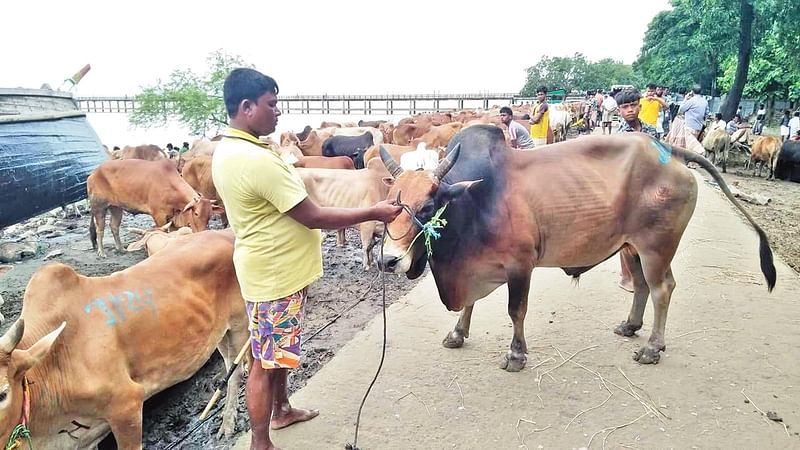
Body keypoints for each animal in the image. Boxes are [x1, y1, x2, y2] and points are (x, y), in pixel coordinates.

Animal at [0, 230, 248, 448]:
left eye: (3, 393)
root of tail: (226, 233)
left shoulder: (126, 405)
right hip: (218, 333)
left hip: (239, 323)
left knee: (237, 371)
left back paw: (227, 424)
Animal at [88, 159, 216, 256]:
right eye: (196, 213)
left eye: (210, 216)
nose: (203, 233)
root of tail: (93, 174)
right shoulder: (159, 216)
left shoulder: (172, 216)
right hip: (99, 207)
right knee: (100, 229)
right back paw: (101, 252)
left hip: (116, 208)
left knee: (114, 226)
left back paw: (121, 249)